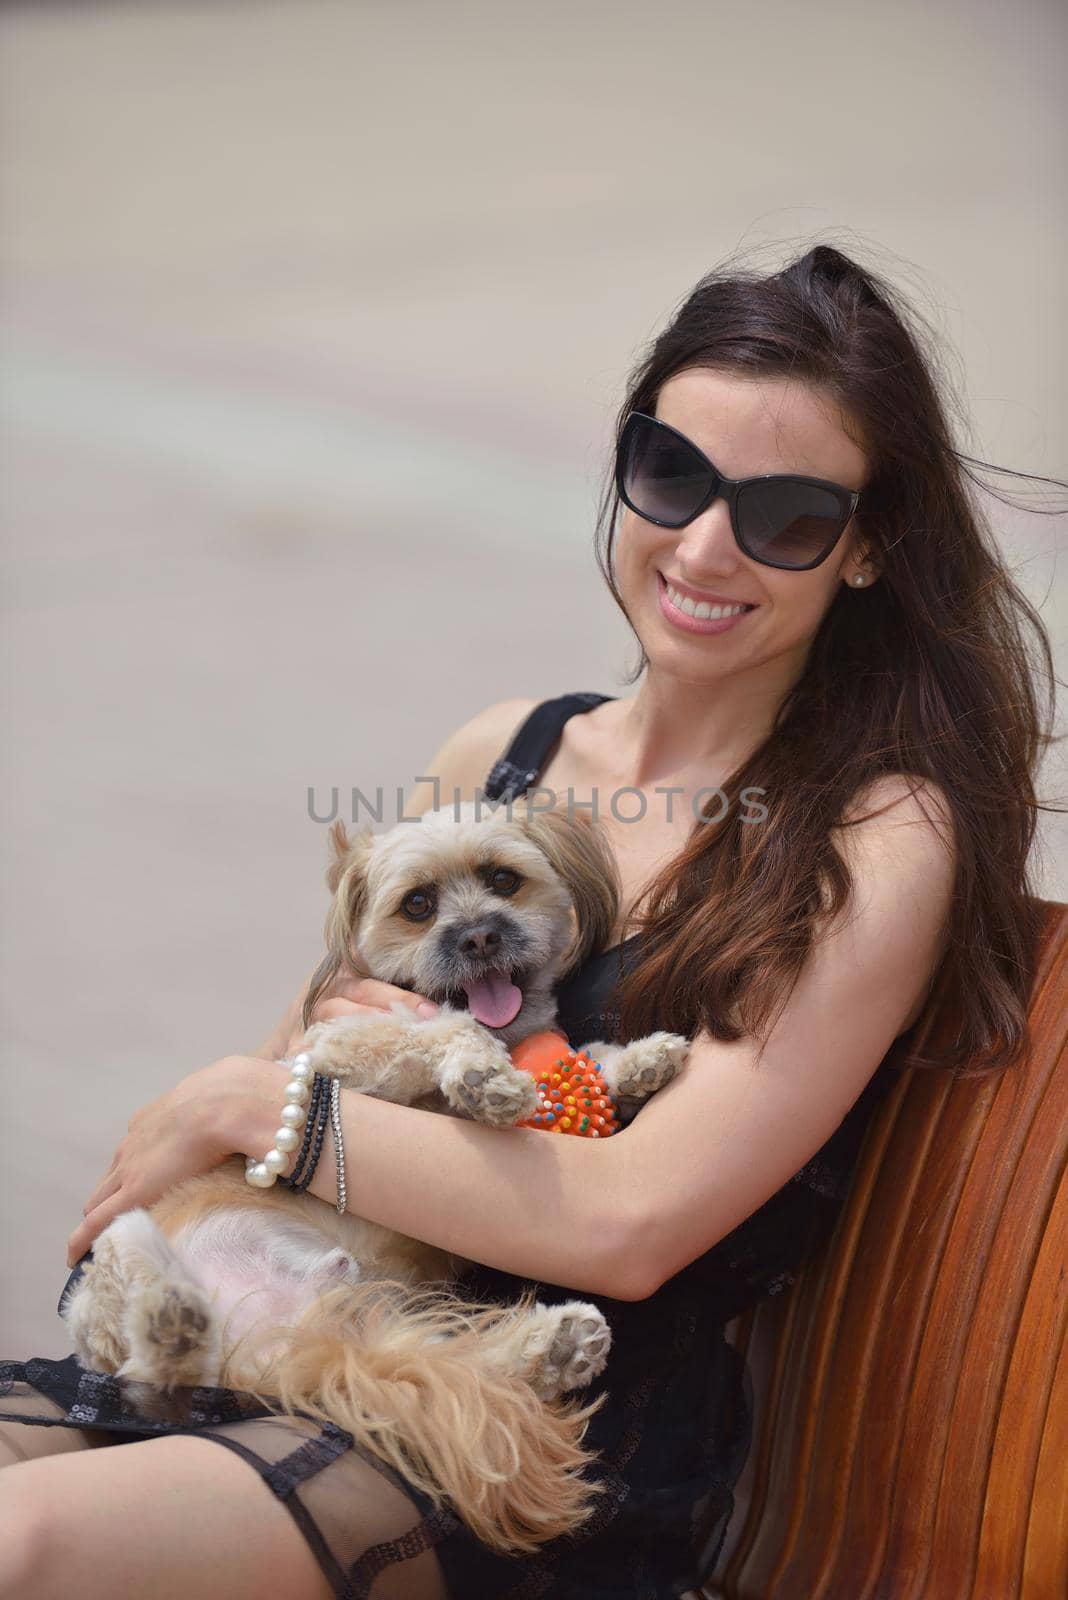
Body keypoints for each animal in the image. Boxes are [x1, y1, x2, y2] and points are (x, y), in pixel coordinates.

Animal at [62, 806, 687, 1555]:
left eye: (504, 880)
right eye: (417, 905)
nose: (479, 935)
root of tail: (274, 1347)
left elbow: (583, 1063)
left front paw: (640, 1063)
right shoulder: (341, 1051)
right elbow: (441, 1029)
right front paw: (484, 1077)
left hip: (374, 1318)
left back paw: (555, 1346)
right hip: (115, 1263)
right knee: (153, 1367)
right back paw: (172, 1319)